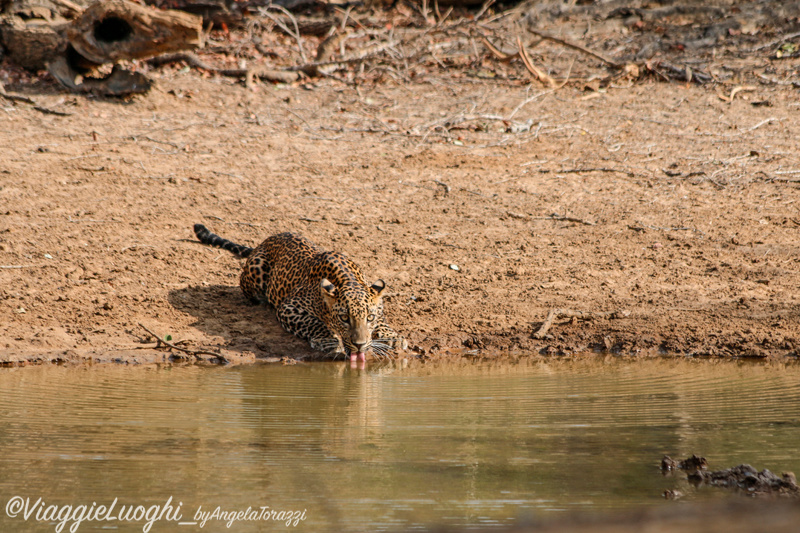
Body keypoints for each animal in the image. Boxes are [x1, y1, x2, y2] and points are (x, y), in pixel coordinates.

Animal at [194, 222, 406, 360]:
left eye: (369, 318)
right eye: (344, 318)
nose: (360, 345)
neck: (349, 279)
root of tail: (264, 242)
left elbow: (383, 320)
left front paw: (392, 337)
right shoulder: (289, 308)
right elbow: (314, 323)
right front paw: (328, 340)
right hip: (256, 270)